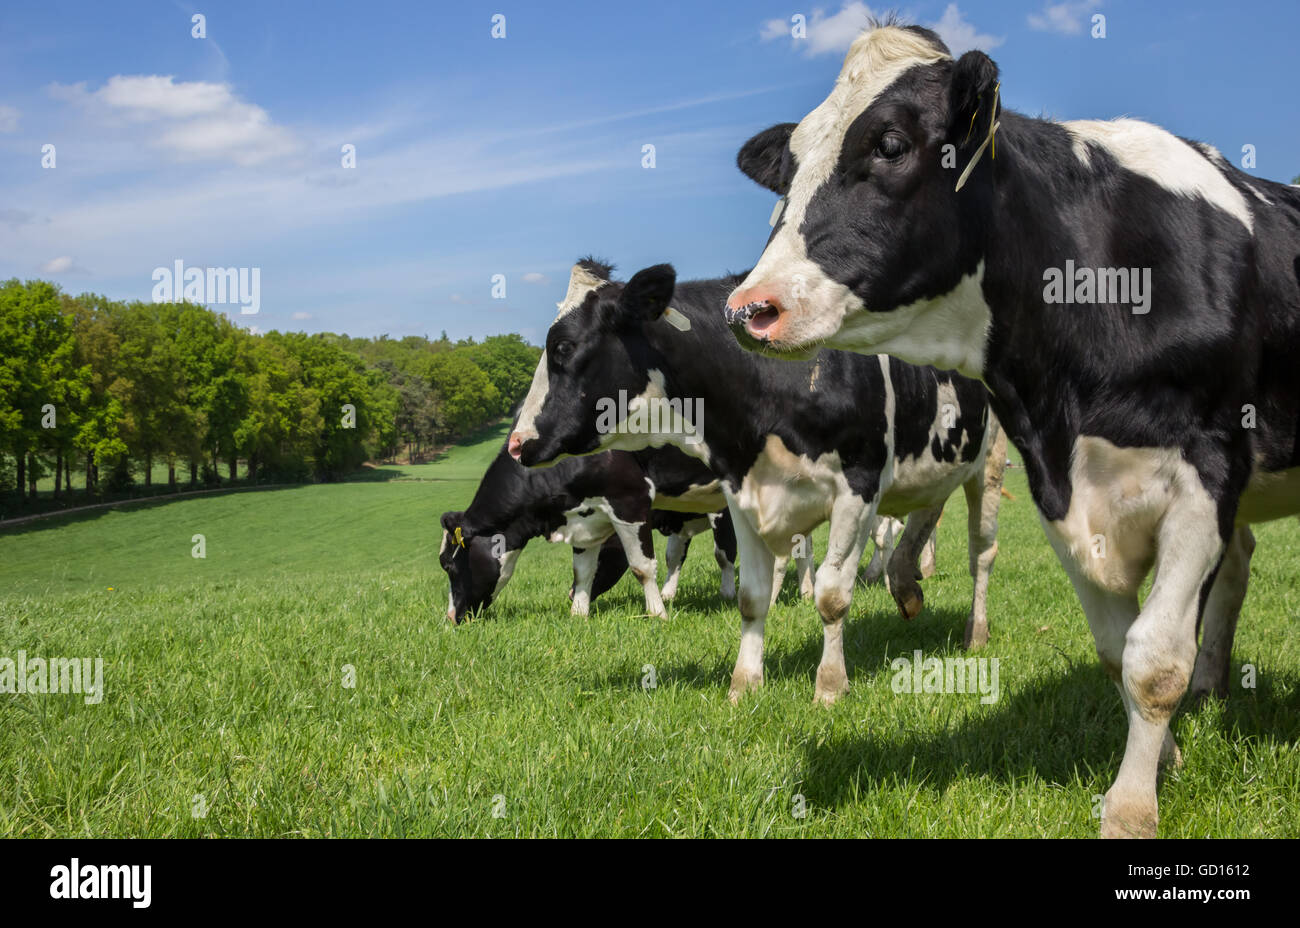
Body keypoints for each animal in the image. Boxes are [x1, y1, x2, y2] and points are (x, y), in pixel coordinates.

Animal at [439, 442, 737, 623]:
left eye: (449, 566)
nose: (451, 618)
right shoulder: (584, 519)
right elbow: (582, 570)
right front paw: (578, 613)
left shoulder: (630, 500)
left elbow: (642, 567)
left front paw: (658, 614)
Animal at [508, 259, 1006, 706]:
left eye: (564, 347)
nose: (516, 442)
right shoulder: (740, 492)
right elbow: (751, 597)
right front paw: (744, 684)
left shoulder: (858, 486)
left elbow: (831, 596)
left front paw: (829, 687)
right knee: (927, 513)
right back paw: (906, 588)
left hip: (990, 462)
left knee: (981, 554)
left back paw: (976, 632)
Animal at [723, 20, 1300, 837]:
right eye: (790, 168)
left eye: (891, 143)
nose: (751, 307)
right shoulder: (1058, 482)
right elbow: (1117, 649)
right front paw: (1168, 755)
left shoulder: (1206, 472)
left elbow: (1154, 660)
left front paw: (1132, 806)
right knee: (1239, 564)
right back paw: (1214, 683)